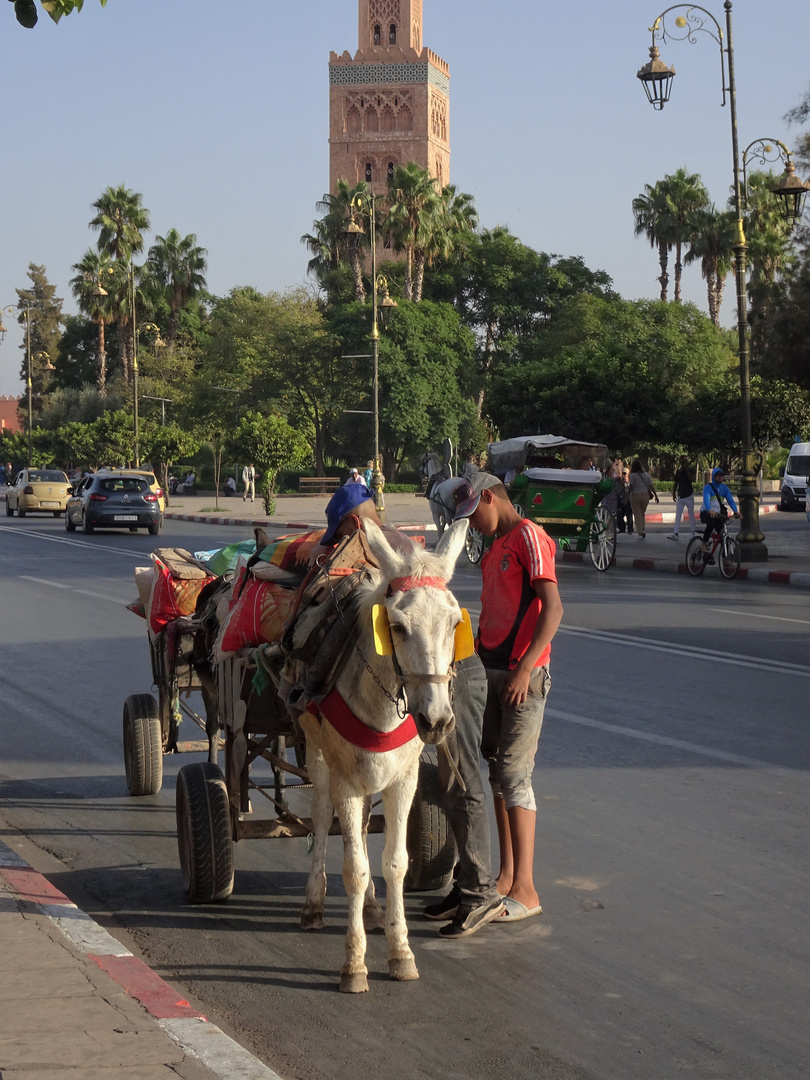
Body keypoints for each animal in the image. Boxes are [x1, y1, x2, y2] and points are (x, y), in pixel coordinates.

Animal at [123, 524, 473, 993]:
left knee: (352, 825)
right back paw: (312, 905)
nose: (436, 720)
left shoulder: (405, 777)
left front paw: (400, 954)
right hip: (315, 749)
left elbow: (393, 863)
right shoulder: (343, 772)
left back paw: (371, 909)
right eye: (396, 626)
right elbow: (355, 867)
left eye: (455, 623)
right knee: (322, 816)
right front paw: (354, 965)